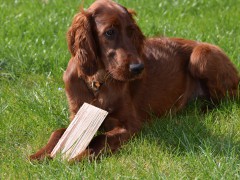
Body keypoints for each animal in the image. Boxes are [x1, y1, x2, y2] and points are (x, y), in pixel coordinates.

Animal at [29, 0, 238, 161]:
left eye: (131, 31)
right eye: (110, 32)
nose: (138, 68)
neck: (98, 80)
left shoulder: (131, 123)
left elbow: (101, 138)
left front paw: (79, 156)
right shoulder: (77, 114)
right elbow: (58, 131)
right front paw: (40, 154)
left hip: (201, 56)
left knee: (227, 100)